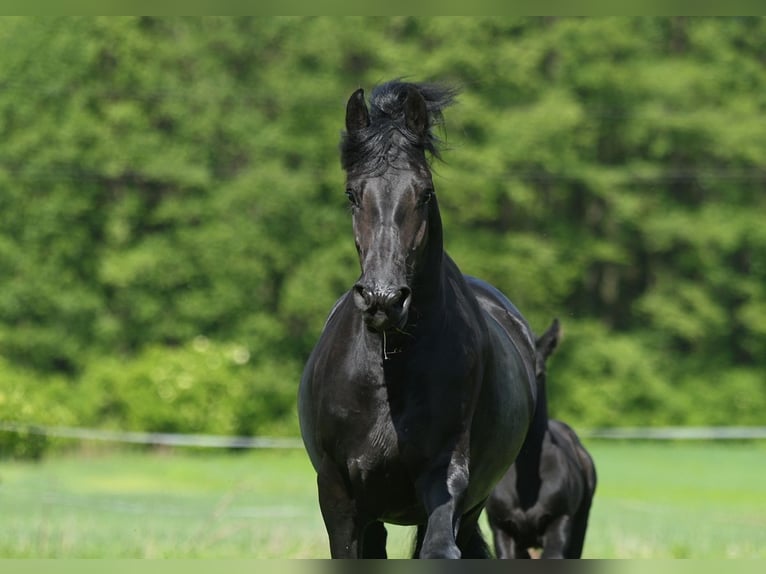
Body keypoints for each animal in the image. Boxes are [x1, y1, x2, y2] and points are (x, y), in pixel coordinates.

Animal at [296, 81, 536, 560]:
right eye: (352, 194)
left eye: (424, 193)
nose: (384, 299)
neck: (390, 371)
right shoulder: (339, 496)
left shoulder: (446, 482)